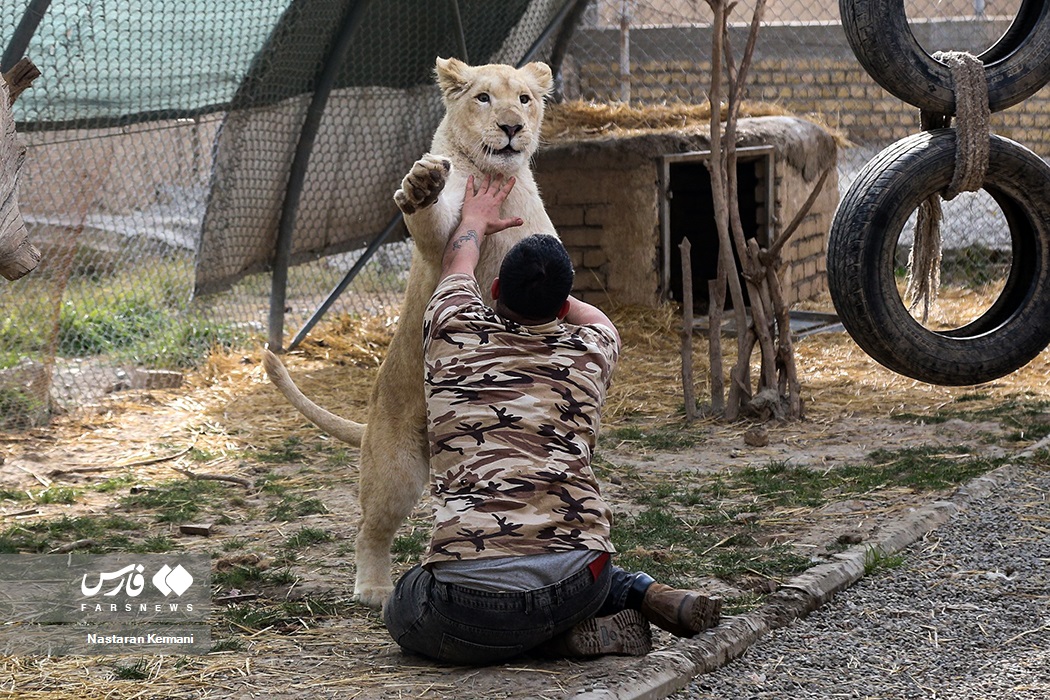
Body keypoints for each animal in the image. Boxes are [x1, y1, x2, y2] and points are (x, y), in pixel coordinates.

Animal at [262, 57, 558, 608]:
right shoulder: (441, 245)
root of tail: (370, 419)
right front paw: (421, 186)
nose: (512, 127)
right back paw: (374, 589)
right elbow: (436, 224)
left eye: (525, 99)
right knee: (369, 529)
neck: (493, 176)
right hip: (395, 470)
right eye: (484, 97)